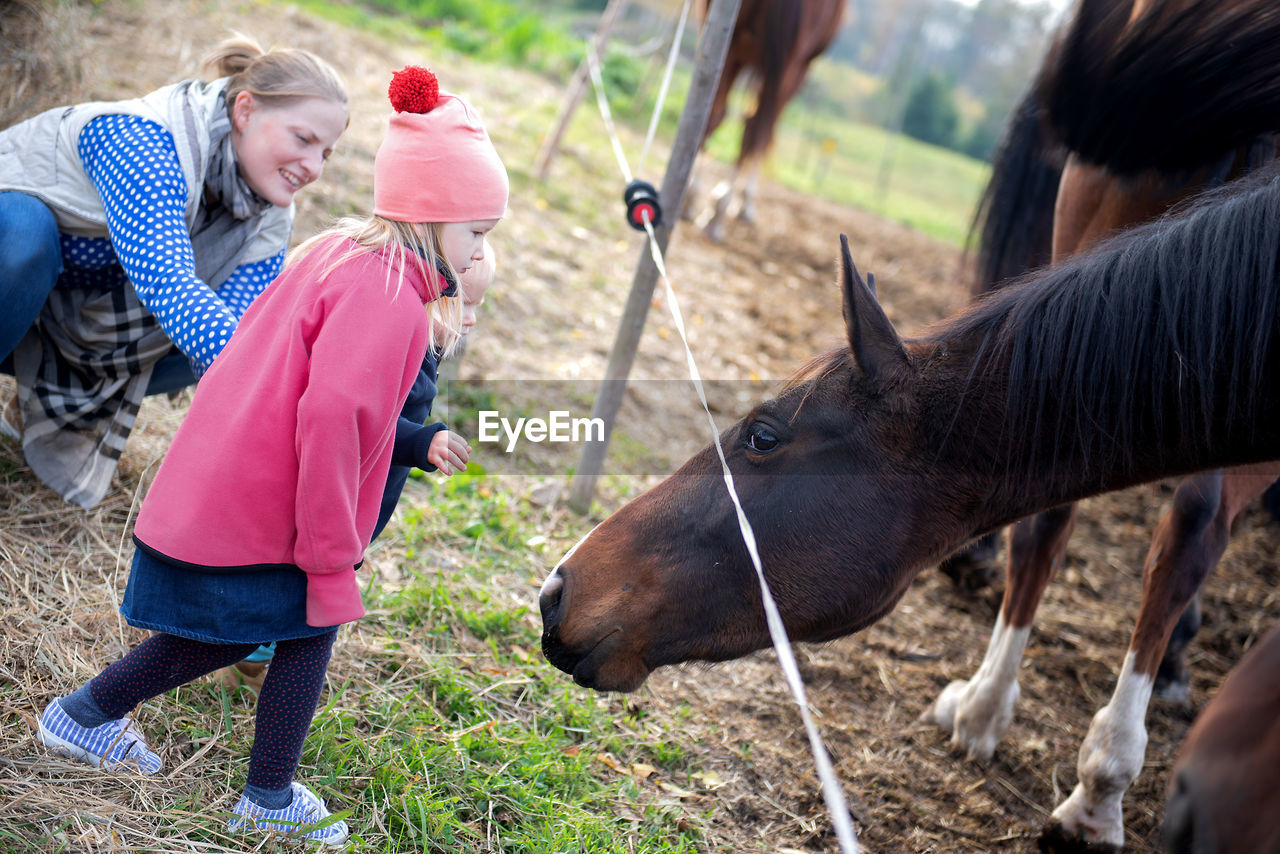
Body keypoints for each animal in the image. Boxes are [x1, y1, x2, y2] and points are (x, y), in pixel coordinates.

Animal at [686, 0, 844, 241]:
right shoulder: (795, 67)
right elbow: (762, 132)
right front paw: (741, 202)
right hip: (788, 65)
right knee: (754, 127)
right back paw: (719, 212)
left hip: (728, 41)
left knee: (715, 113)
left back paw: (694, 201)